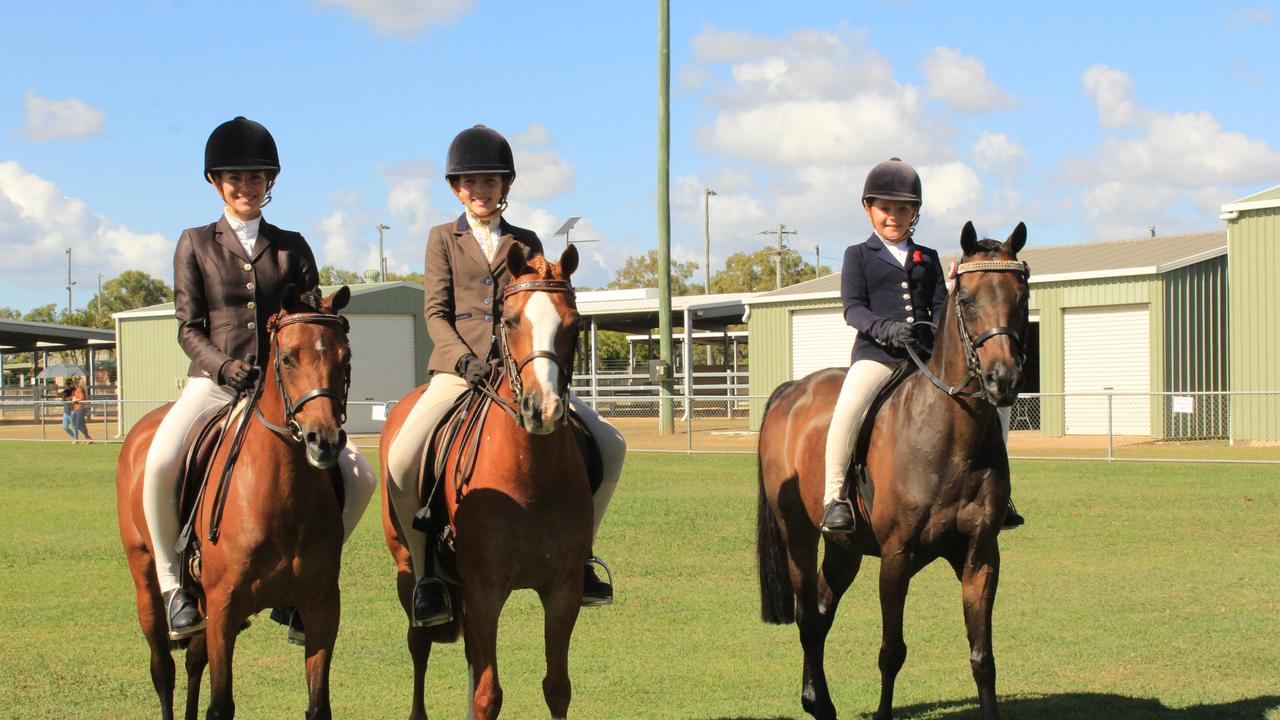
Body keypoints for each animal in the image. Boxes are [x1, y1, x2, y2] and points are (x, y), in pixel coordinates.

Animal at [116, 285, 355, 717]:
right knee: (163, 669)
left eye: (345, 357)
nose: (323, 441)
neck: (283, 499)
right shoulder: (225, 610)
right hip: (145, 575)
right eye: (287, 357)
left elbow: (318, 705)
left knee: (194, 662)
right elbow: (220, 705)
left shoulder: (322, 608)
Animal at [376, 242, 591, 717]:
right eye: (509, 321)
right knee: (419, 642)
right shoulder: (485, 589)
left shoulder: (563, 590)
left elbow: (558, 687)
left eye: (574, 325)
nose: (543, 409)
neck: (531, 475)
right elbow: (488, 694)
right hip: (409, 569)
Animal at [757, 222, 1029, 717]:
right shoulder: (897, 557)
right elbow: (892, 652)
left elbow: (983, 657)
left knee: (821, 611)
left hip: (844, 546)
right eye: (966, 299)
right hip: (798, 535)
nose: (1003, 380)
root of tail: (794, 390)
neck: (951, 438)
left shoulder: (981, 556)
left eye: (1022, 296)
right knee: (808, 617)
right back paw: (818, 703)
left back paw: (816, 701)